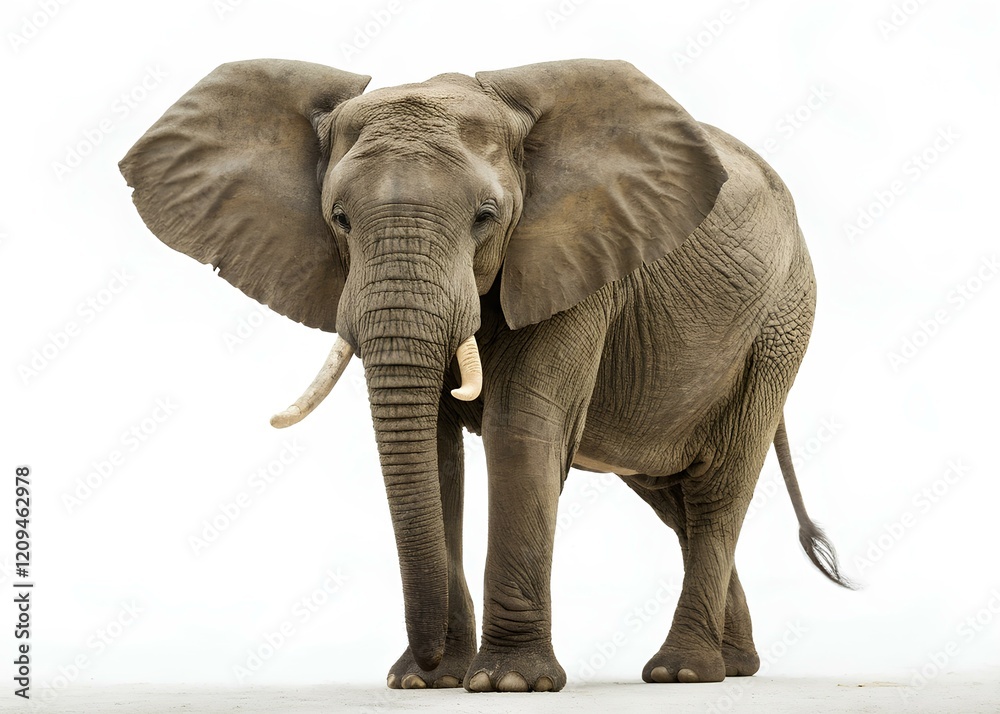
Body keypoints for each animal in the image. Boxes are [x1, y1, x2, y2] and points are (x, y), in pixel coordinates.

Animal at [119, 58, 852, 692]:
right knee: (673, 499)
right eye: (339, 220)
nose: (419, 661)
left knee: (717, 490)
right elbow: (437, 455)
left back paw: (683, 671)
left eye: (486, 217)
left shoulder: (579, 260)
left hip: (778, 327)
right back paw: (733, 665)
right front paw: (430, 681)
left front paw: (507, 682)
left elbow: (521, 431)